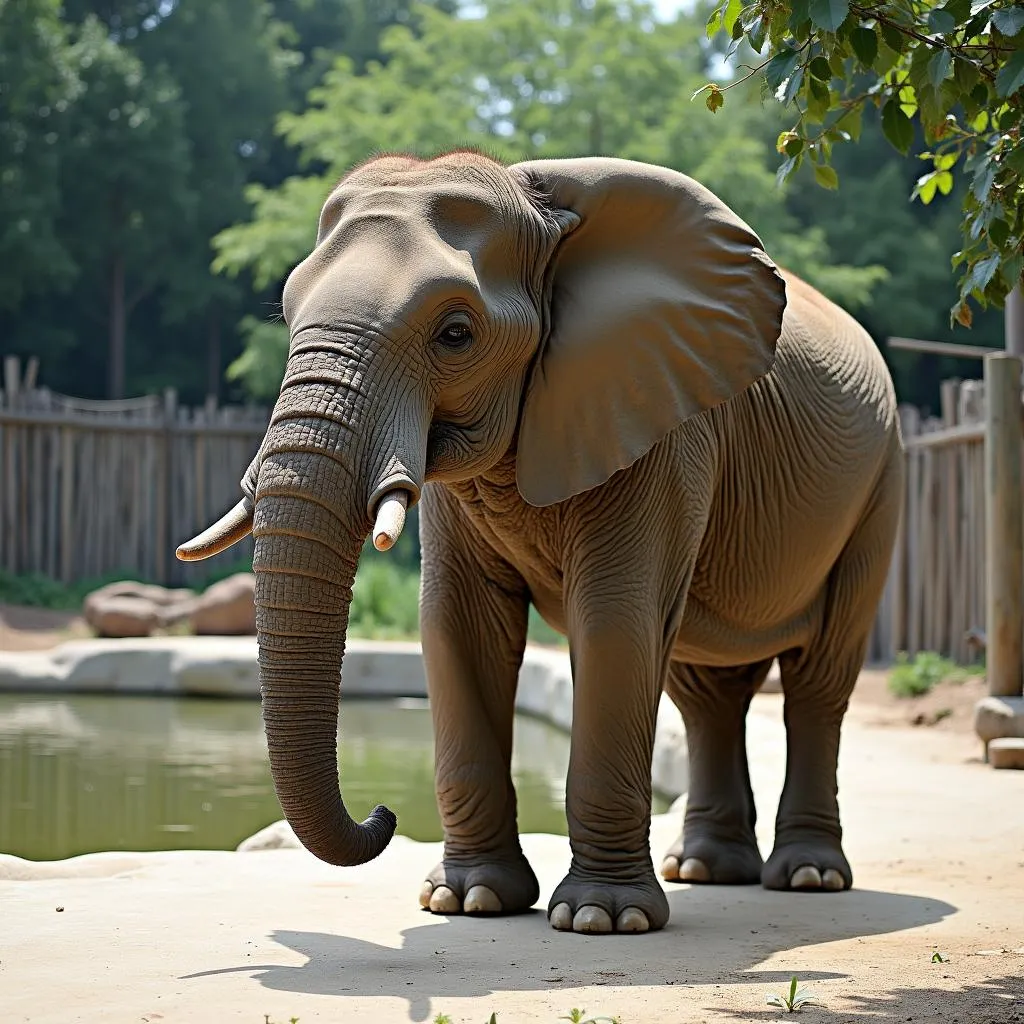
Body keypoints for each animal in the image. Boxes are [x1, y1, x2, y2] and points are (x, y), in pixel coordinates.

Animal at [178, 149, 905, 937]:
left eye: (456, 334)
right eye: (286, 314)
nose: (383, 811)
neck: (539, 210)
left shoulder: (658, 419)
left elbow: (615, 621)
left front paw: (603, 919)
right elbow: (458, 625)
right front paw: (468, 902)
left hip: (881, 483)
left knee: (817, 679)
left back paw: (807, 877)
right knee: (704, 688)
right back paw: (705, 870)